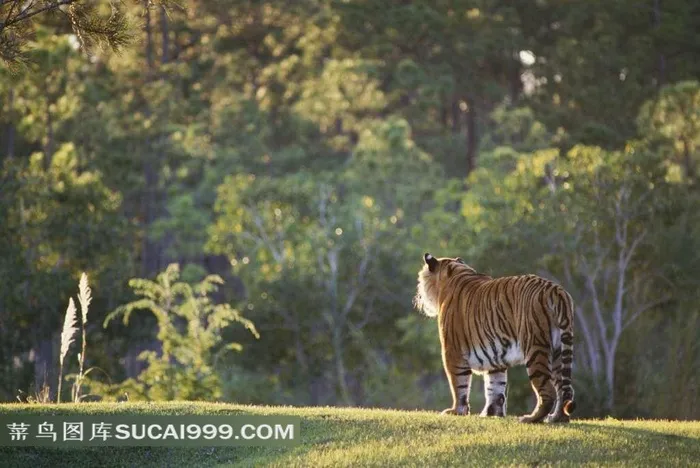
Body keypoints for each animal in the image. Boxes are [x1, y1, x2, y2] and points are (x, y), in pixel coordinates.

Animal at [413, 253, 576, 423]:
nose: (418, 297)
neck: (455, 273)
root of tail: (556, 290)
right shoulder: (495, 351)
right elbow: (495, 386)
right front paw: (492, 413)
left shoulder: (452, 352)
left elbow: (459, 384)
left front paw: (457, 410)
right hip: (558, 351)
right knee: (564, 389)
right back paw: (557, 418)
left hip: (535, 347)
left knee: (548, 390)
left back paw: (530, 418)